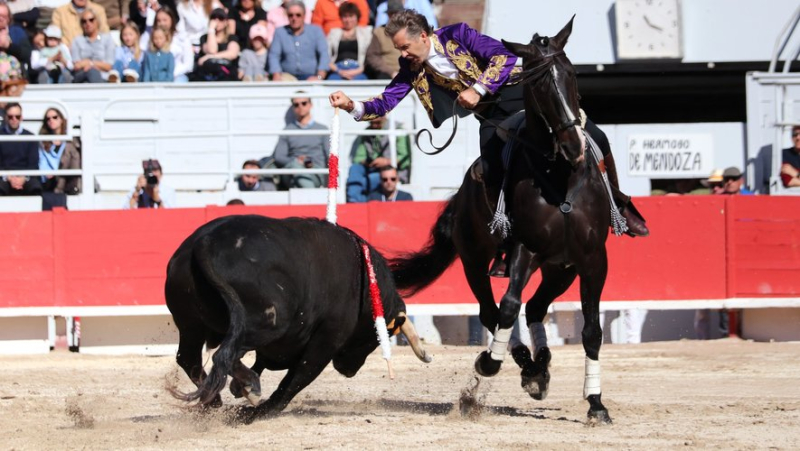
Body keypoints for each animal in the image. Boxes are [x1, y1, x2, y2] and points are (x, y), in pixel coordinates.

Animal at [163, 215, 434, 420]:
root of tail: (206, 242)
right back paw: (250, 389)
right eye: (375, 338)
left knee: (190, 358)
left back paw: (217, 400)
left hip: (190, 324)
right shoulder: (326, 341)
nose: (348, 370)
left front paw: (240, 390)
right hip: (268, 323)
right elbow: (296, 379)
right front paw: (257, 410)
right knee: (226, 354)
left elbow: (267, 364)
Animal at [392, 17, 612, 426]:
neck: (558, 176)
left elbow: (592, 330)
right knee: (493, 311)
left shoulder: (592, 259)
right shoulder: (525, 248)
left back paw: (537, 368)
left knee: (535, 308)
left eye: (572, 75)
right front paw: (489, 363)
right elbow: (508, 307)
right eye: (538, 86)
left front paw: (596, 404)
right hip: (475, 261)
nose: (574, 147)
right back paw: (523, 365)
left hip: (560, 268)